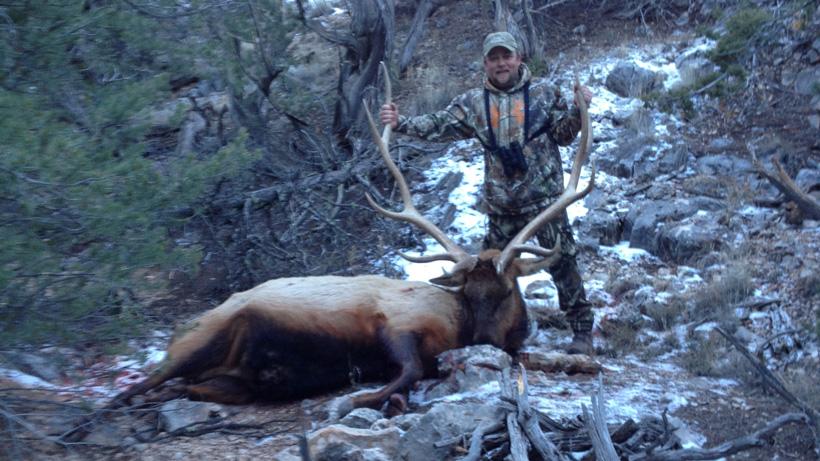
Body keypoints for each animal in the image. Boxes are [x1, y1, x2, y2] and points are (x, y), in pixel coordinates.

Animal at [64, 66, 592, 440]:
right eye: (468, 291)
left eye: (505, 290)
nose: (483, 340)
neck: (457, 322)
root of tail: (179, 331)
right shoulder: (396, 323)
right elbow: (409, 369)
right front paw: (358, 401)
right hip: (199, 340)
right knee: (137, 385)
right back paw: (87, 421)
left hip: (226, 378)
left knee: (184, 388)